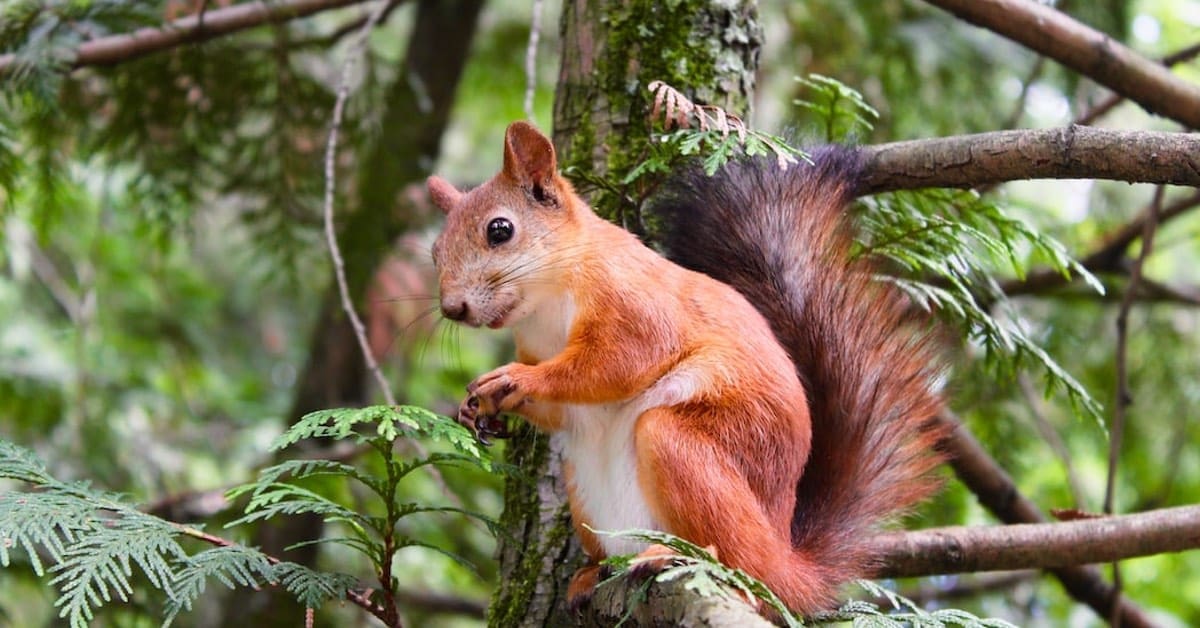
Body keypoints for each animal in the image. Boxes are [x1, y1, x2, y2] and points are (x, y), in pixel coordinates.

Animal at [426, 121, 948, 615]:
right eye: (434, 251)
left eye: (500, 230)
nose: (452, 309)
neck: (547, 303)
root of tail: (787, 562)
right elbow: (562, 410)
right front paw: (479, 409)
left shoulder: (635, 304)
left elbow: (615, 364)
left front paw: (516, 379)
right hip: (584, 490)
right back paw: (592, 573)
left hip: (688, 447)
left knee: (739, 560)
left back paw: (679, 556)